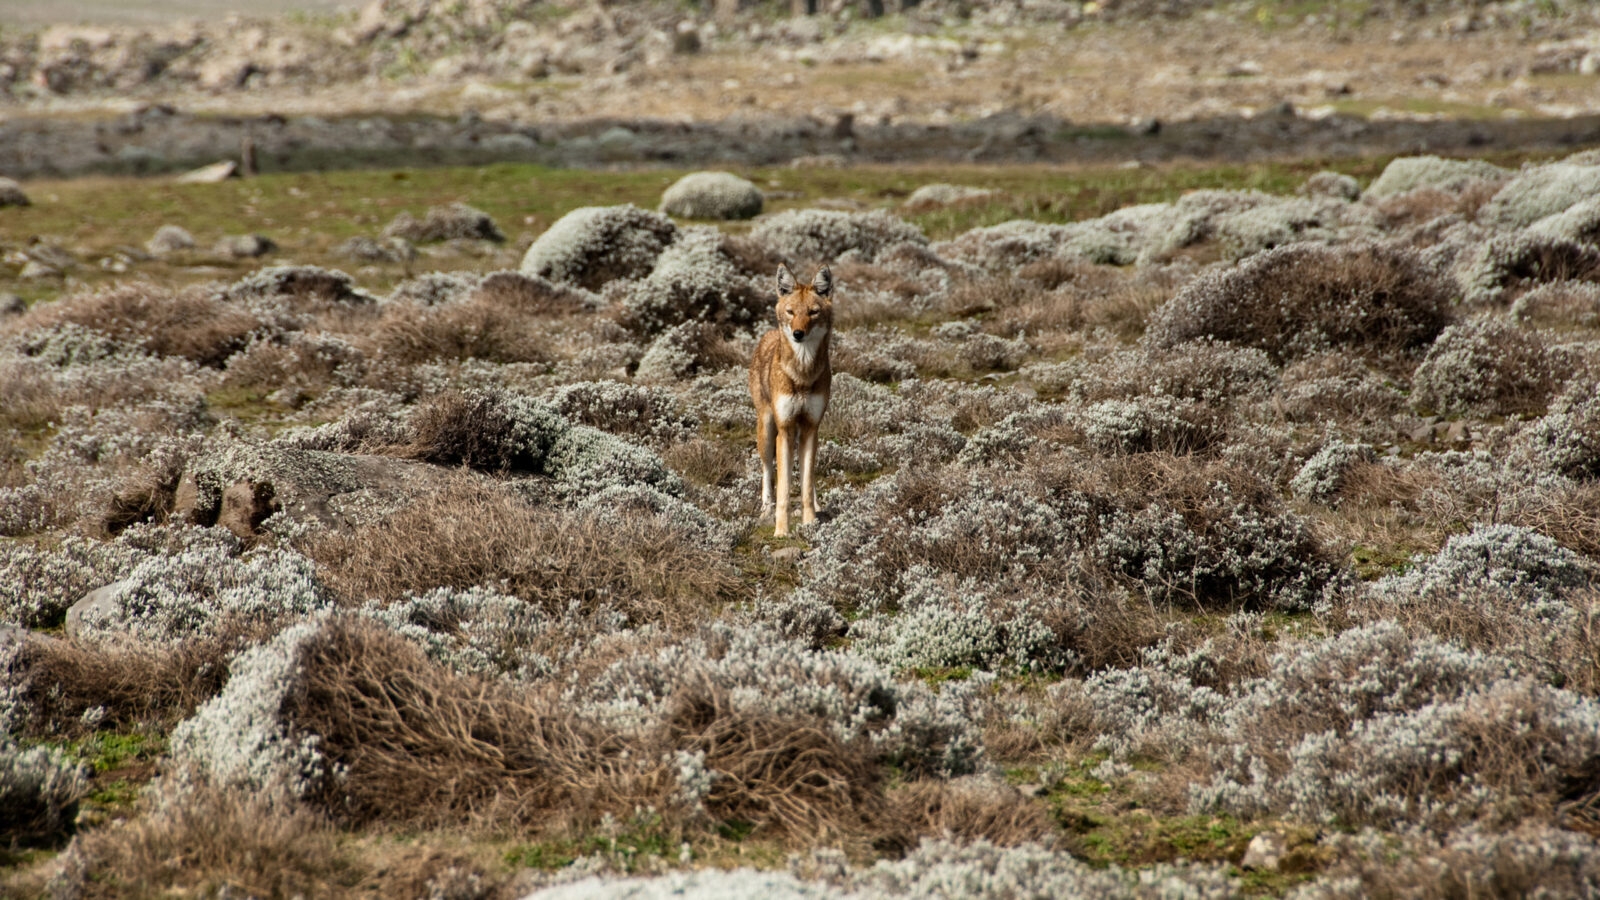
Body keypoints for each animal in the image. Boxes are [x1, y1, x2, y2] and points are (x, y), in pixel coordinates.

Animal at [749, 263, 833, 537]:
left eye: (813, 313)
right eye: (791, 312)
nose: (798, 334)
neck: (802, 374)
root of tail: (768, 334)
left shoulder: (810, 427)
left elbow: (805, 484)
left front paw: (810, 523)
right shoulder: (784, 429)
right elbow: (784, 489)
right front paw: (781, 530)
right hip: (767, 432)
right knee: (767, 472)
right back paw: (765, 510)